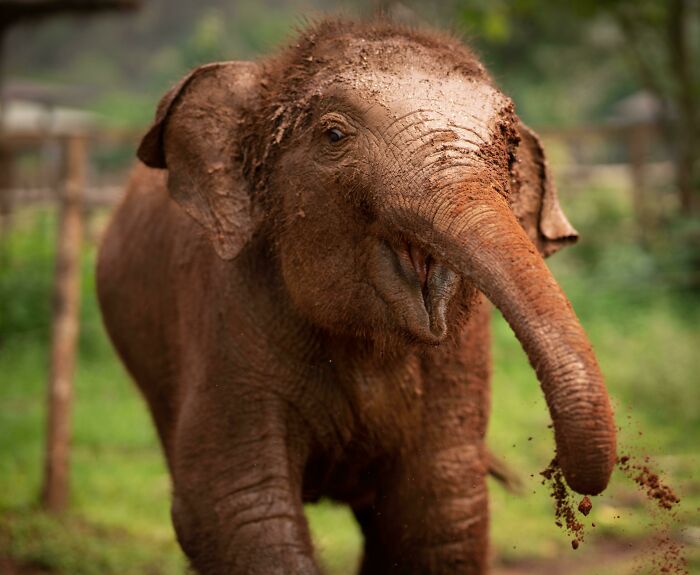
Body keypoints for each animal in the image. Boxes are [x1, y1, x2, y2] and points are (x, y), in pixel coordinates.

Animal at [97, 19, 617, 575]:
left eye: (510, 148)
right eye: (333, 135)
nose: (573, 488)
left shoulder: (463, 357)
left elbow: (439, 517)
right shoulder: (225, 313)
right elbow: (236, 507)